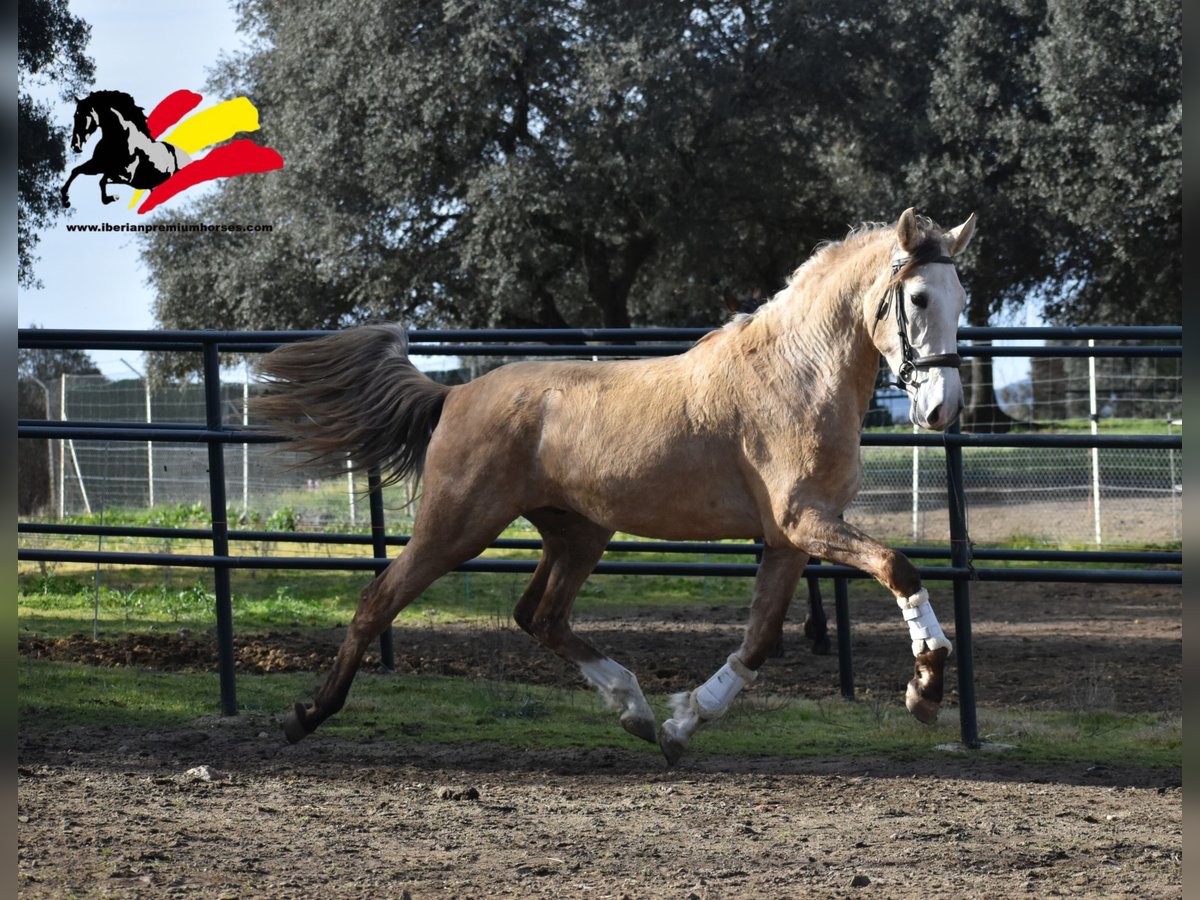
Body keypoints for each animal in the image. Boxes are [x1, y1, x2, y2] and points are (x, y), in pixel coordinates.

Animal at [58, 92, 189, 211]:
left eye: (81, 117)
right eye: (75, 116)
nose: (75, 146)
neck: (119, 140)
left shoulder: (125, 176)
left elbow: (102, 181)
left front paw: (112, 198)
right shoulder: (97, 166)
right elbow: (76, 171)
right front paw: (66, 200)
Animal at [260, 207, 974, 763]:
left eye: (963, 300)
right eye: (918, 298)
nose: (942, 409)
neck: (796, 374)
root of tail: (454, 395)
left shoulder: (790, 538)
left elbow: (761, 638)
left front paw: (684, 724)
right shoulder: (805, 522)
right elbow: (899, 567)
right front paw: (926, 689)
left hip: (578, 532)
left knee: (540, 616)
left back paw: (634, 708)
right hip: (457, 525)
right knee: (378, 599)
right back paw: (306, 716)